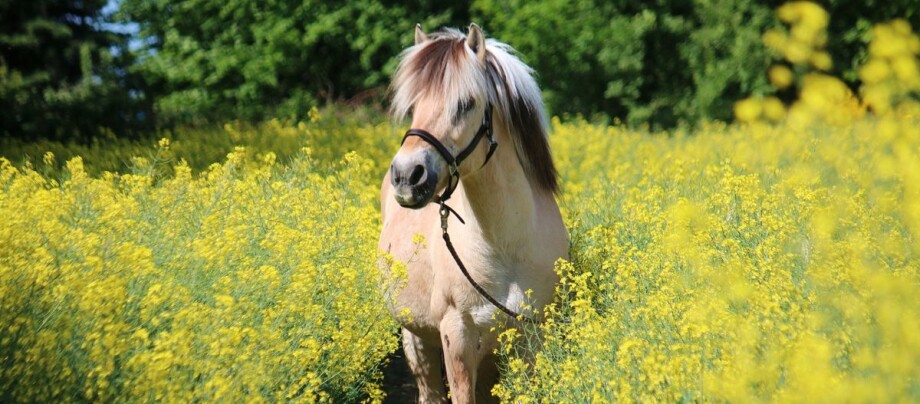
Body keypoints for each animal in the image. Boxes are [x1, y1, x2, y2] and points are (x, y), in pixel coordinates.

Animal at [376, 23, 564, 402]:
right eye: (414, 105)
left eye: (466, 104)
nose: (407, 176)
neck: (506, 245)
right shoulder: (458, 337)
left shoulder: (531, 340)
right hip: (417, 340)